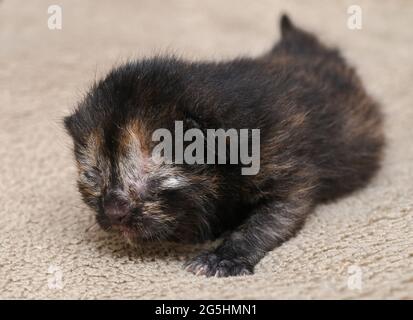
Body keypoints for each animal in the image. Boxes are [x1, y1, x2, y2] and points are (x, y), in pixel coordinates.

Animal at [64, 15, 384, 278]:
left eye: (150, 177)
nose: (112, 212)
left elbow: (264, 223)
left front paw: (224, 258)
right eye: (92, 176)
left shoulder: (288, 172)